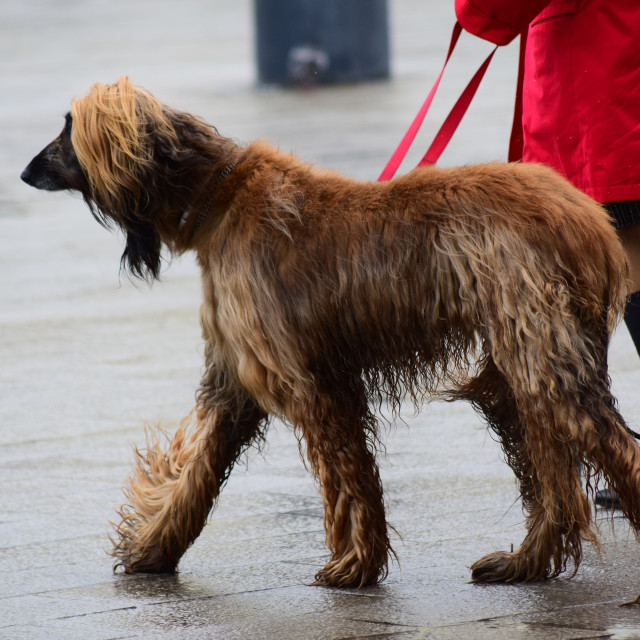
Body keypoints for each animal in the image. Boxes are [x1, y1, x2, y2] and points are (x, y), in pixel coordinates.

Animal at [22, 77, 640, 588]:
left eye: (67, 130)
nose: (26, 171)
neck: (218, 200)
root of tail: (590, 221)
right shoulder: (235, 380)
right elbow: (197, 468)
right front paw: (152, 548)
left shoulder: (312, 382)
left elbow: (348, 479)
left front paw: (353, 565)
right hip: (515, 376)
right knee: (556, 483)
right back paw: (523, 563)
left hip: (541, 358)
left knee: (609, 448)